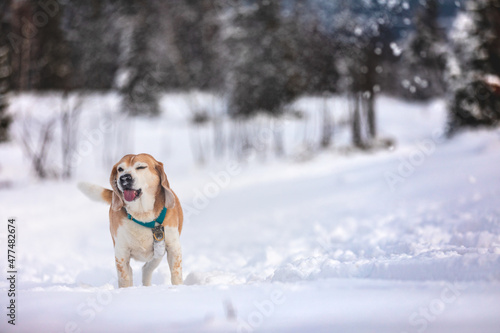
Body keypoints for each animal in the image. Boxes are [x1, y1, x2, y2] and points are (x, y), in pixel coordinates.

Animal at [79, 153, 184, 286]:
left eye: (141, 167)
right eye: (120, 169)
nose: (124, 178)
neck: (142, 214)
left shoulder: (173, 248)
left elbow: (176, 274)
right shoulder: (121, 253)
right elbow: (125, 279)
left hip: (157, 255)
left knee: (146, 270)